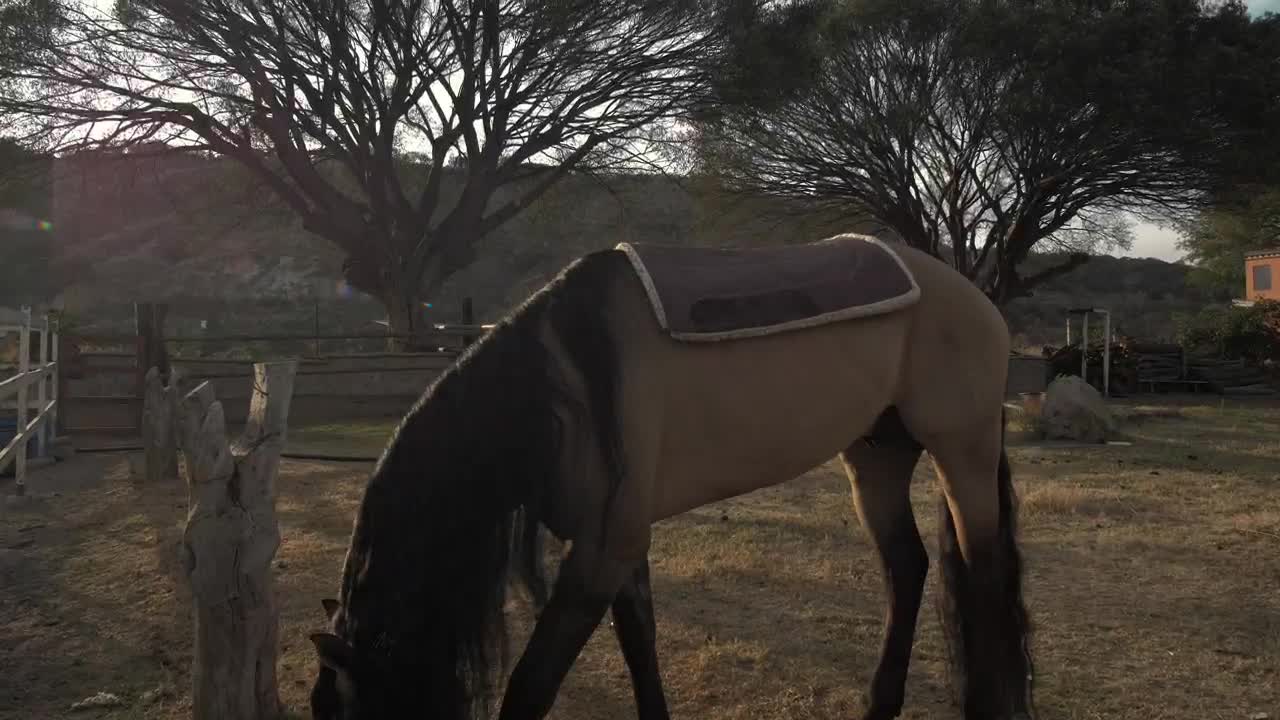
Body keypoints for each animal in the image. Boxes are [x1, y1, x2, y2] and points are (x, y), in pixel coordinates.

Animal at [307, 233, 1035, 720]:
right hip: (876, 454)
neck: (564, 385)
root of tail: (973, 297)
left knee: (983, 572)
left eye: (342, 712)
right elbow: (641, 646)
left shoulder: (602, 550)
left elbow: (533, 685)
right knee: (907, 567)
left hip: (962, 448)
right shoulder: (620, 543)